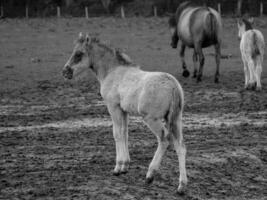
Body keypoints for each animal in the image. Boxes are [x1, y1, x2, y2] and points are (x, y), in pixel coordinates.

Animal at [62, 32, 188, 194]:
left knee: (164, 139)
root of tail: (173, 85)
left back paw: (150, 175)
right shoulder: (124, 110)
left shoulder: (113, 107)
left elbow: (117, 134)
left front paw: (118, 167)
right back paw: (181, 186)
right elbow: (125, 133)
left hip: (152, 119)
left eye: (79, 54)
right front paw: (125, 166)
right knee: (180, 146)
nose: (65, 72)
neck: (112, 71)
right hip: (175, 119)